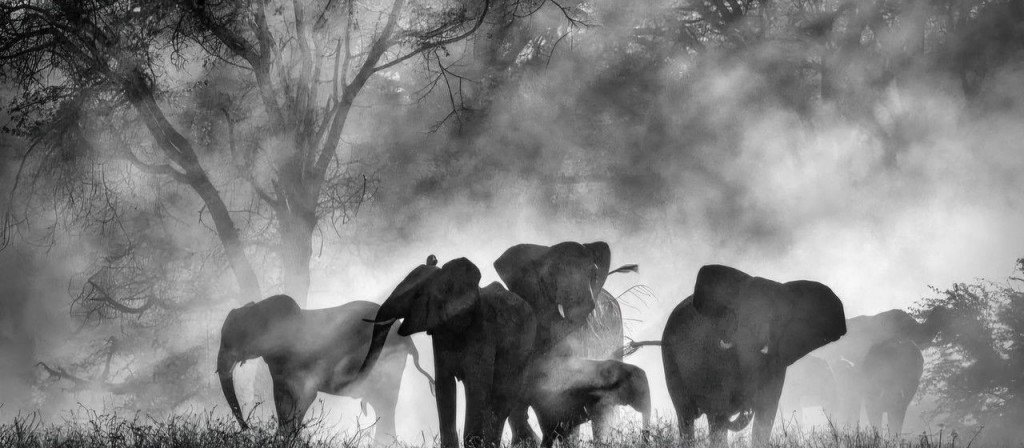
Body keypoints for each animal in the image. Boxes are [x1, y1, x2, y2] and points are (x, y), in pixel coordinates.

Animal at [216, 295, 435, 440]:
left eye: (234, 340)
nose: (248, 428)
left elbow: (302, 396)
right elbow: (284, 399)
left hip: (387, 363)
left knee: (385, 404)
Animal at [358, 255, 537, 448]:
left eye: (417, 295)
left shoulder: (483, 330)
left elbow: (477, 385)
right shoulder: (440, 332)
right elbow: (444, 385)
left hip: (523, 352)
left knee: (502, 400)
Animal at [661, 265, 847, 448]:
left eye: (777, 318)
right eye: (738, 314)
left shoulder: (776, 362)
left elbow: (766, 412)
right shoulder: (714, 357)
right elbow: (718, 410)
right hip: (670, 360)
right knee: (686, 416)